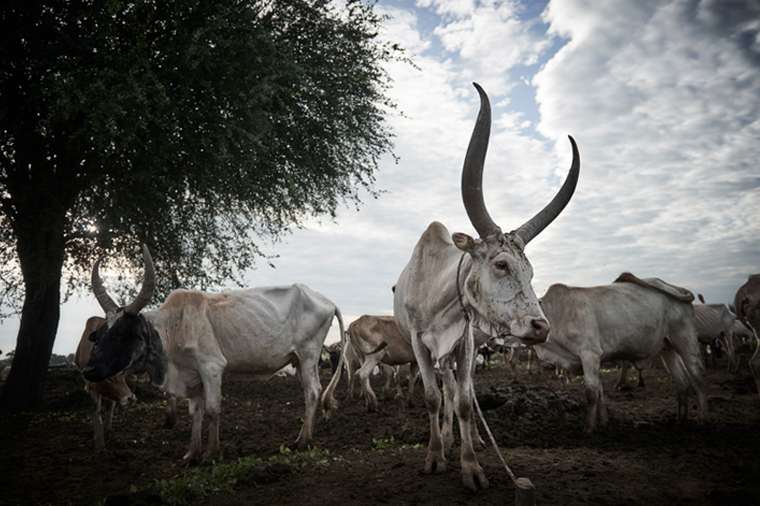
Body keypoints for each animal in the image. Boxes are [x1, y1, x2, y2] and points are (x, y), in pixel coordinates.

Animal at [74, 316, 137, 450]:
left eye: (123, 377)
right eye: (109, 379)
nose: (131, 398)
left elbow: (110, 407)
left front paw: (107, 432)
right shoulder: (91, 386)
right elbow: (96, 408)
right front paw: (98, 439)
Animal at [81, 246, 346, 466]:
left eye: (121, 333)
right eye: (100, 335)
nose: (88, 370)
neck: (175, 327)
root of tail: (325, 299)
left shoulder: (211, 369)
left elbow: (212, 410)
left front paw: (210, 454)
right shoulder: (193, 376)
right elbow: (195, 414)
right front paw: (191, 454)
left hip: (308, 355)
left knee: (313, 392)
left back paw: (302, 440)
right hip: (299, 361)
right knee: (310, 392)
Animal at [394, 83, 580, 490]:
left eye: (531, 271)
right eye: (501, 264)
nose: (540, 327)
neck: (438, 294)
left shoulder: (464, 342)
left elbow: (465, 401)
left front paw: (471, 467)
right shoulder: (418, 341)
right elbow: (432, 398)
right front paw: (435, 456)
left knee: (461, 392)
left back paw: (472, 440)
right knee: (446, 390)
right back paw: (447, 440)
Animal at [532, 270, 708, 432]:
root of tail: (676, 288)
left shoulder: (589, 354)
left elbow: (591, 393)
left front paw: (588, 428)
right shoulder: (594, 360)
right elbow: (600, 391)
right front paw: (602, 422)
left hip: (685, 341)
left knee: (698, 377)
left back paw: (702, 419)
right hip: (668, 348)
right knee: (682, 381)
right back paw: (680, 420)